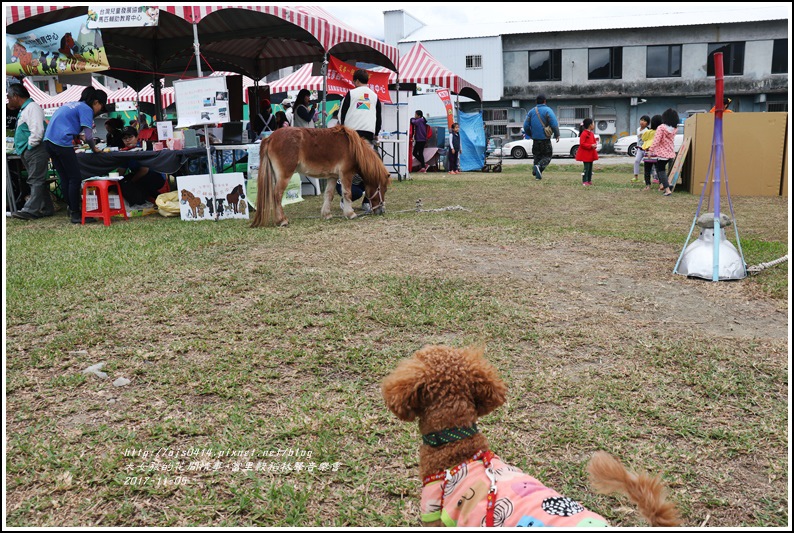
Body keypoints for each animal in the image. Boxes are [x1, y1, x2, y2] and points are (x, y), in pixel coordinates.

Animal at [251, 126, 390, 227]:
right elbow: (347, 193)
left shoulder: (333, 177)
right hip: (284, 175)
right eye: (382, 189)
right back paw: (282, 220)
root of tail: (270, 138)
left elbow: (329, 195)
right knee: (277, 195)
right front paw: (350, 213)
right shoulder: (345, 174)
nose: (381, 211)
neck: (353, 148)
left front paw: (326, 214)